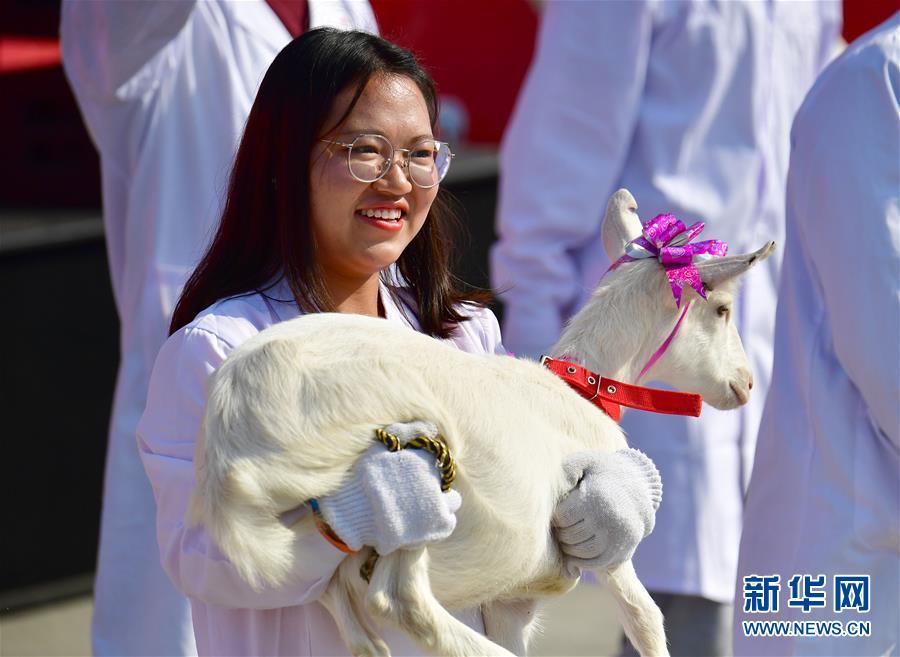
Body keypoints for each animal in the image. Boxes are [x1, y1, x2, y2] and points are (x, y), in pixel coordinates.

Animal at [188, 190, 772, 656]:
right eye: (721, 309)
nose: (745, 385)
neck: (580, 390)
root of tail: (236, 405)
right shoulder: (603, 551)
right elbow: (646, 617)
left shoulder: (514, 597)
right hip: (410, 479)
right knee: (398, 597)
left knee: (342, 598)